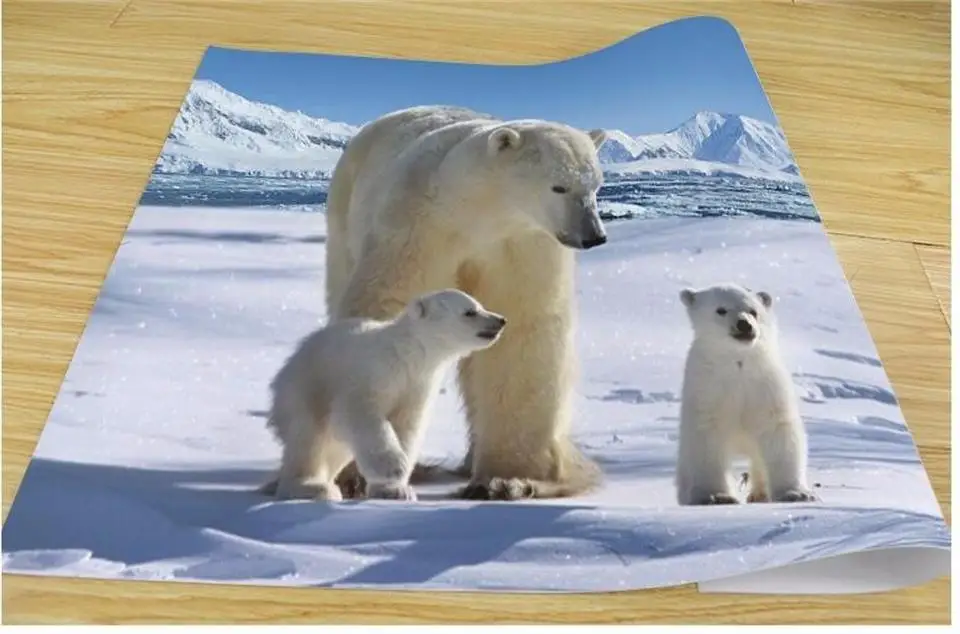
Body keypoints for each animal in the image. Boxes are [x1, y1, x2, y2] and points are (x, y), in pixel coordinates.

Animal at [259, 288, 507, 502]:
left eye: (480, 305)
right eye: (470, 311)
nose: (501, 320)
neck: (408, 353)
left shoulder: (417, 387)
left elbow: (407, 427)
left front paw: (396, 490)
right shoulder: (371, 372)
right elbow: (359, 413)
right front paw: (394, 466)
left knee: (335, 449)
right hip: (305, 390)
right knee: (308, 439)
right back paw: (313, 487)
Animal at [323, 105, 609, 501]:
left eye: (596, 185)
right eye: (559, 185)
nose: (594, 236)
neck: (478, 212)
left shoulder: (523, 244)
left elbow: (522, 331)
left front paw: (508, 480)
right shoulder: (419, 226)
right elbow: (390, 298)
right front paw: (359, 476)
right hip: (343, 220)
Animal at [674, 283, 818, 506]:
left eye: (753, 311)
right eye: (721, 310)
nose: (744, 325)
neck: (738, 363)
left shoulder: (764, 385)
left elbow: (778, 430)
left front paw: (796, 493)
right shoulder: (708, 389)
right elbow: (707, 437)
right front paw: (716, 496)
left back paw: (759, 494)